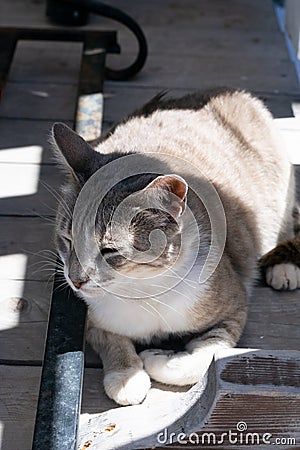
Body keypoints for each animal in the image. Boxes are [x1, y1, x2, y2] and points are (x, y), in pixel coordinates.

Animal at [51, 88, 298, 404]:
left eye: (109, 251)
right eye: (67, 239)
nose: (75, 280)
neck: (141, 290)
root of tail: (230, 92)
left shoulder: (234, 308)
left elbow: (201, 362)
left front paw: (156, 358)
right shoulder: (92, 319)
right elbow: (112, 340)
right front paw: (126, 377)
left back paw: (283, 266)